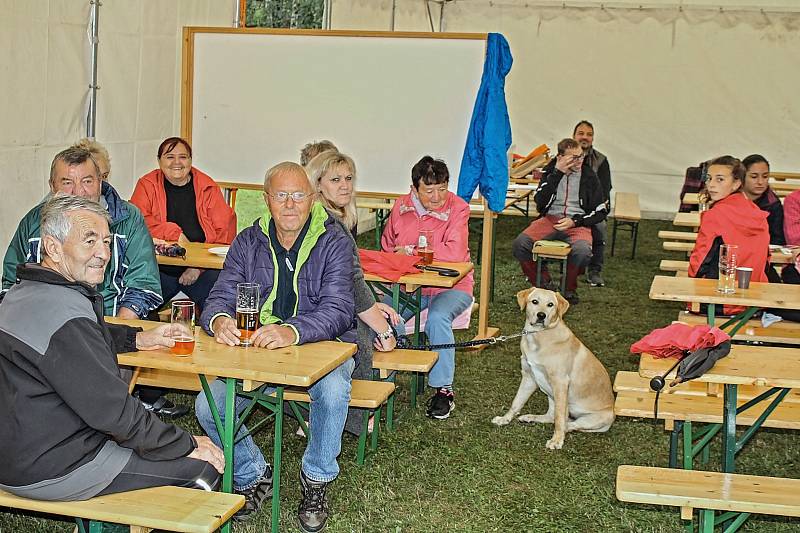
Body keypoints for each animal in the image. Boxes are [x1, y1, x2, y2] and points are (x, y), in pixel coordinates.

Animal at [490, 288, 616, 446]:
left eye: (550, 304)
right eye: (535, 301)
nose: (541, 315)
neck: (539, 336)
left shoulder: (560, 382)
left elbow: (559, 417)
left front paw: (557, 440)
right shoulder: (529, 377)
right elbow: (516, 402)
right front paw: (504, 419)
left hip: (590, 417)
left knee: (569, 423)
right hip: (550, 394)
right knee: (551, 416)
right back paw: (530, 417)